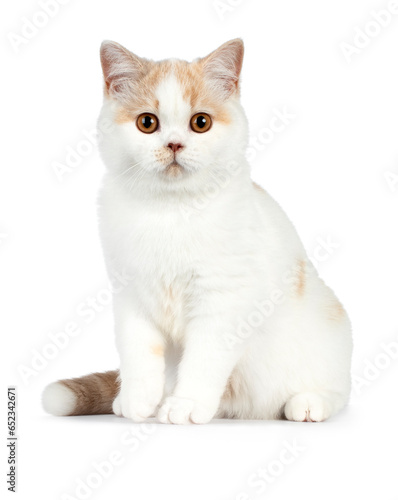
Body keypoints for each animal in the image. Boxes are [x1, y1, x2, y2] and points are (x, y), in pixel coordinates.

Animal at [42, 39, 352, 424]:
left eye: (200, 122)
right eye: (147, 123)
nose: (174, 144)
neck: (172, 211)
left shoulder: (222, 299)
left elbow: (204, 358)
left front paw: (186, 404)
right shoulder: (131, 294)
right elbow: (137, 351)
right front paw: (137, 399)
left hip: (329, 339)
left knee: (336, 391)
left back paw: (308, 402)